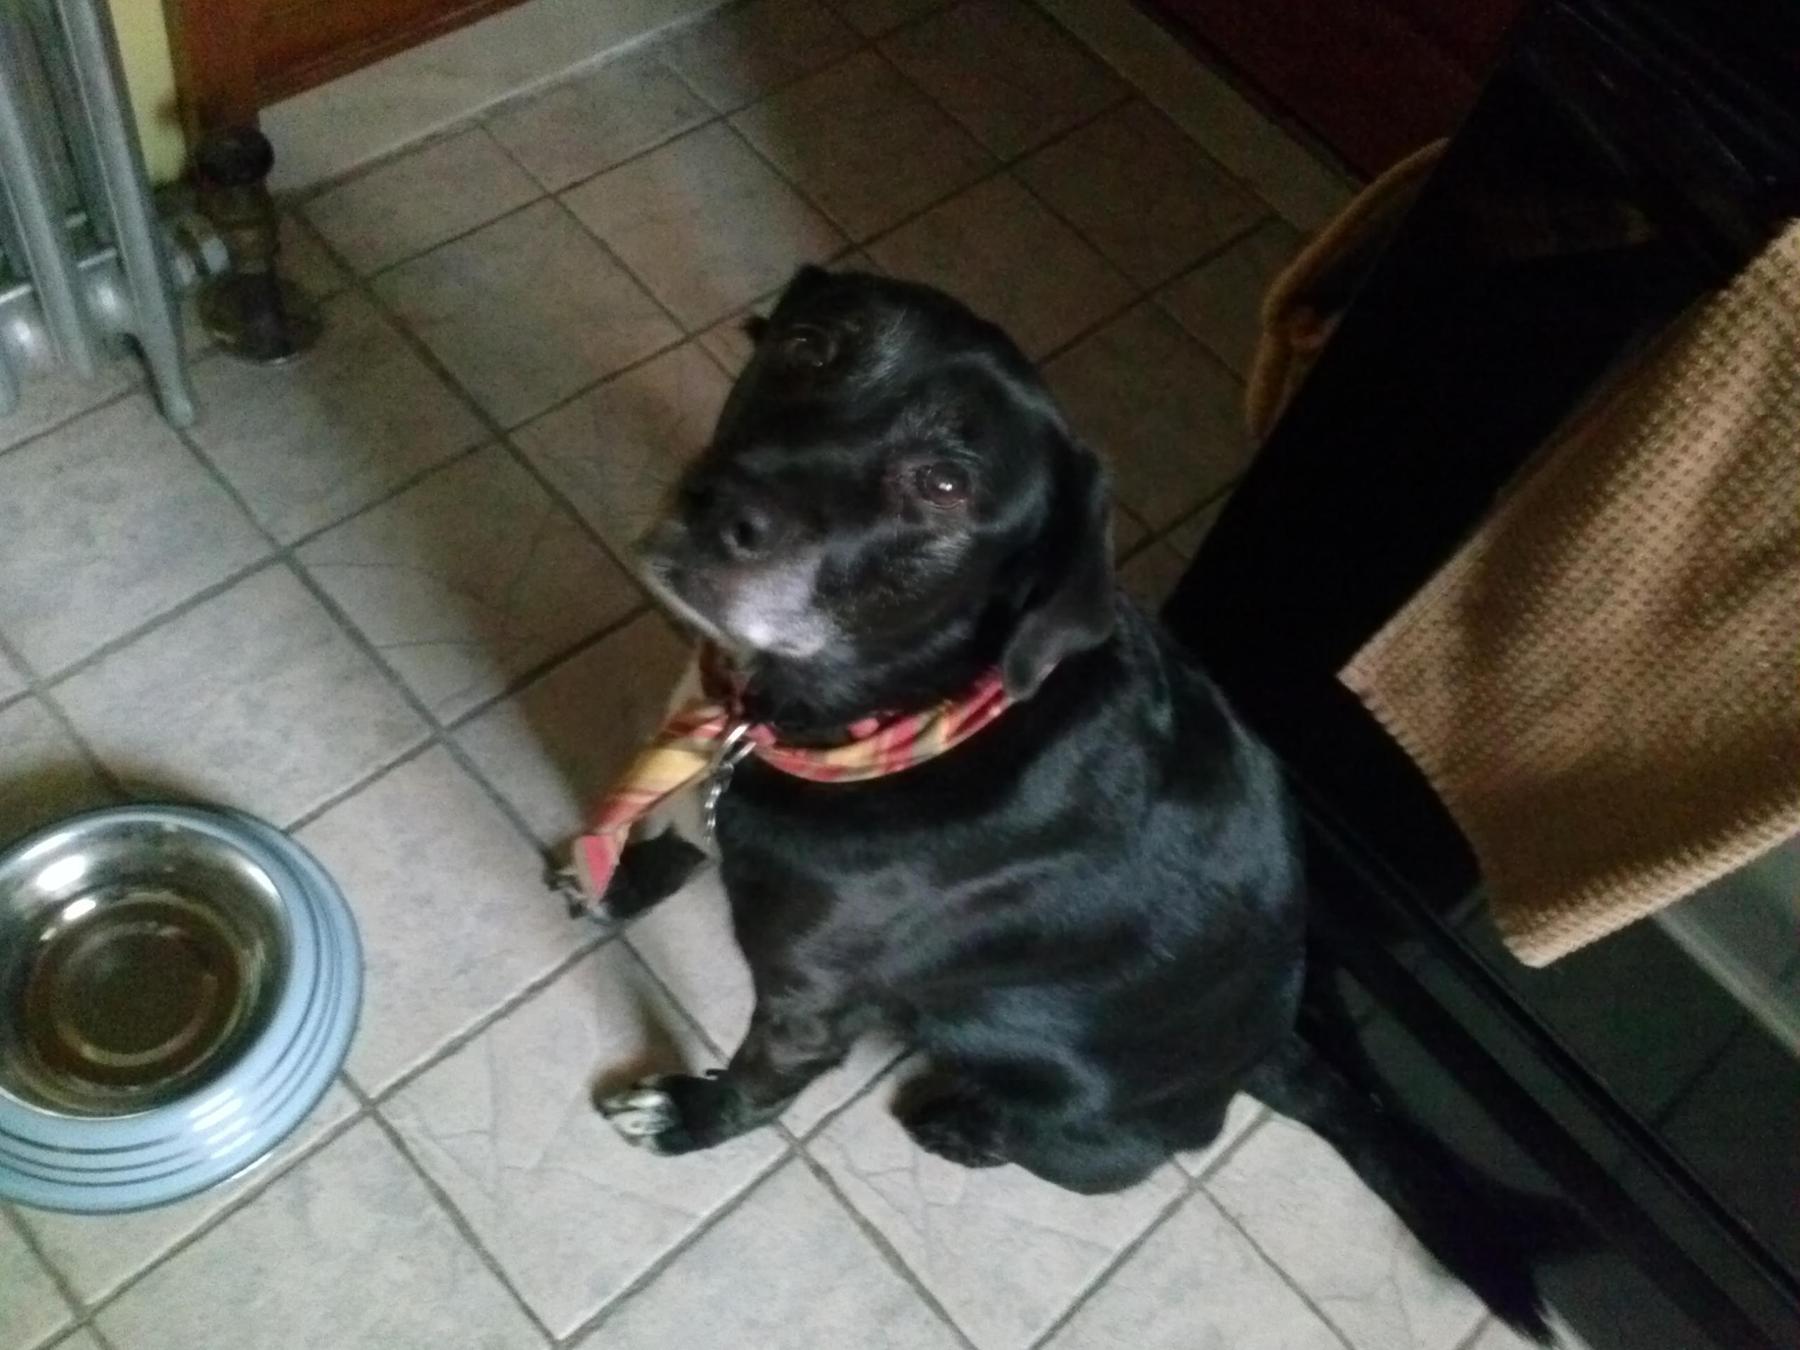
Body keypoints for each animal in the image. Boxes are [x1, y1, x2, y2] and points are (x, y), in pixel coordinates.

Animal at [561, 265, 1566, 1343]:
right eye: (811, 347)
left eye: (945, 483)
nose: (722, 508)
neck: (898, 711)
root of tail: (1269, 1057)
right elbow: (674, 834)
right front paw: (614, 879)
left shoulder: (809, 1002)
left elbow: (758, 1084)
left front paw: (689, 1117)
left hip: (1067, 1090)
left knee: (1114, 1159)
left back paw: (965, 1124)